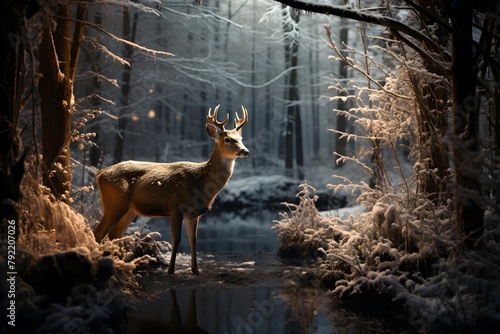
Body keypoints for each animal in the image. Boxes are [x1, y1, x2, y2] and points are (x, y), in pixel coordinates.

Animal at [93, 105, 249, 274]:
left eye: (241, 139)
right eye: (227, 139)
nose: (245, 151)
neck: (201, 181)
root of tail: (99, 174)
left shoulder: (194, 214)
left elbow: (193, 240)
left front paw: (196, 270)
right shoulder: (175, 207)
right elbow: (177, 239)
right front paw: (170, 270)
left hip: (130, 209)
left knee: (115, 234)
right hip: (114, 203)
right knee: (99, 233)